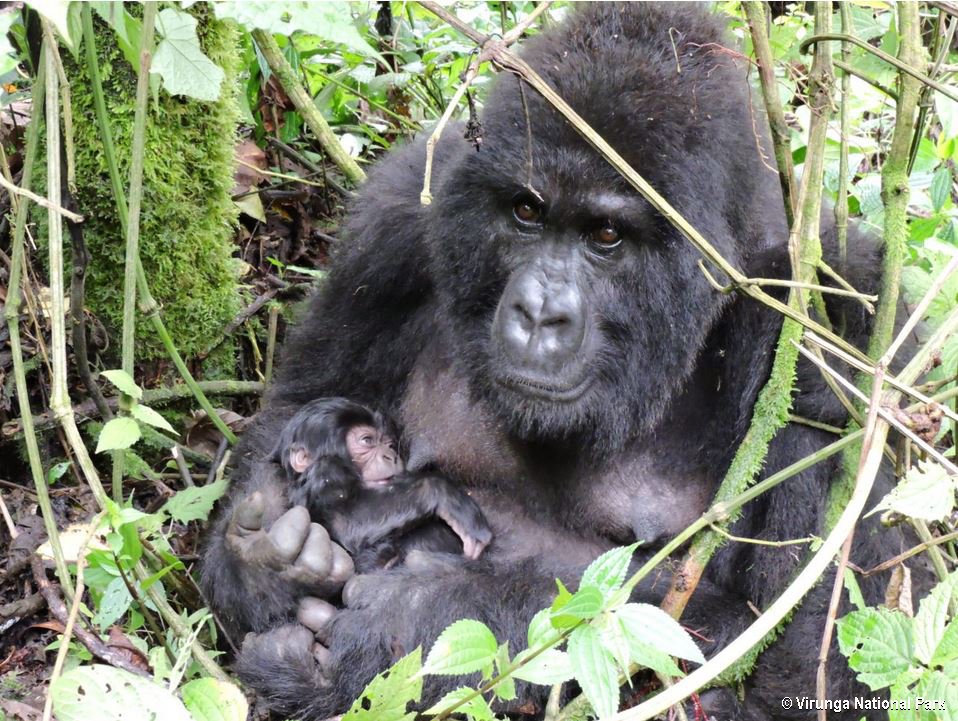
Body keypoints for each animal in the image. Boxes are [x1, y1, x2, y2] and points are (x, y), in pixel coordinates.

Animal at [270, 397, 493, 572]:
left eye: (389, 444)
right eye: (367, 441)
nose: (390, 455)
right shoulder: (328, 474)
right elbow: (348, 521)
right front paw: (452, 500)